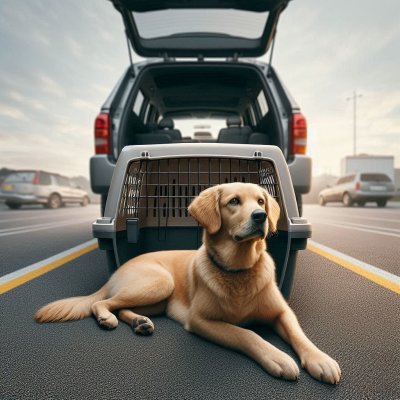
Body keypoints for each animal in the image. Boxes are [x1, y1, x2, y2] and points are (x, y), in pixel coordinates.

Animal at [35, 183, 340, 382]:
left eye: (261, 201)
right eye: (234, 201)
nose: (261, 216)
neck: (239, 270)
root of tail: (119, 269)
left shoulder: (282, 312)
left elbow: (299, 334)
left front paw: (320, 359)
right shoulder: (201, 320)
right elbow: (246, 334)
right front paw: (277, 357)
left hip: (158, 300)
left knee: (120, 307)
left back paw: (139, 322)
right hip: (159, 283)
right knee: (102, 303)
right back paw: (106, 318)